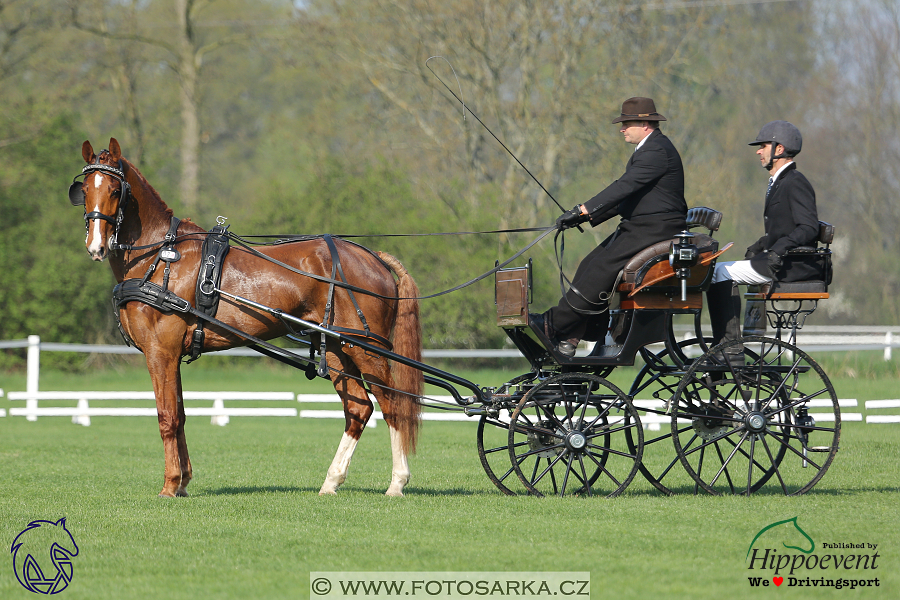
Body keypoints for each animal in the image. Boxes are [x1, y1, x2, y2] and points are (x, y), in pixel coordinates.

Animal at [70, 139, 422, 496]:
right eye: (84, 190)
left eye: (116, 190)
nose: (96, 246)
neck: (161, 257)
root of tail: (374, 256)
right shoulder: (171, 355)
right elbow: (181, 415)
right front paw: (183, 481)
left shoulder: (161, 351)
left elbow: (167, 417)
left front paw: (170, 485)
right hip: (337, 348)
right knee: (359, 409)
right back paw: (331, 481)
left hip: (365, 349)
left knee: (394, 405)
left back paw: (397, 482)